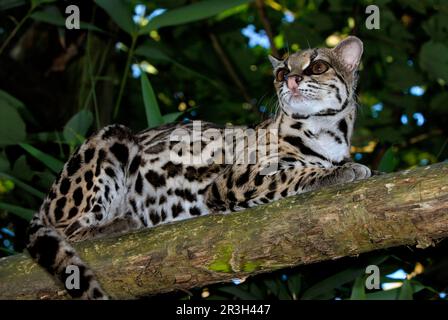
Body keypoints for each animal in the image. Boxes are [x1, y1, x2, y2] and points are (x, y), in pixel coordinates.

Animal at [27, 36, 372, 298]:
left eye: (318, 66)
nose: (290, 79)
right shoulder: (236, 178)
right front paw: (341, 172)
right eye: (281, 72)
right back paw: (119, 223)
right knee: (69, 229)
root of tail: (43, 204)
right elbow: (294, 173)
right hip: (111, 138)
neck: (325, 132)